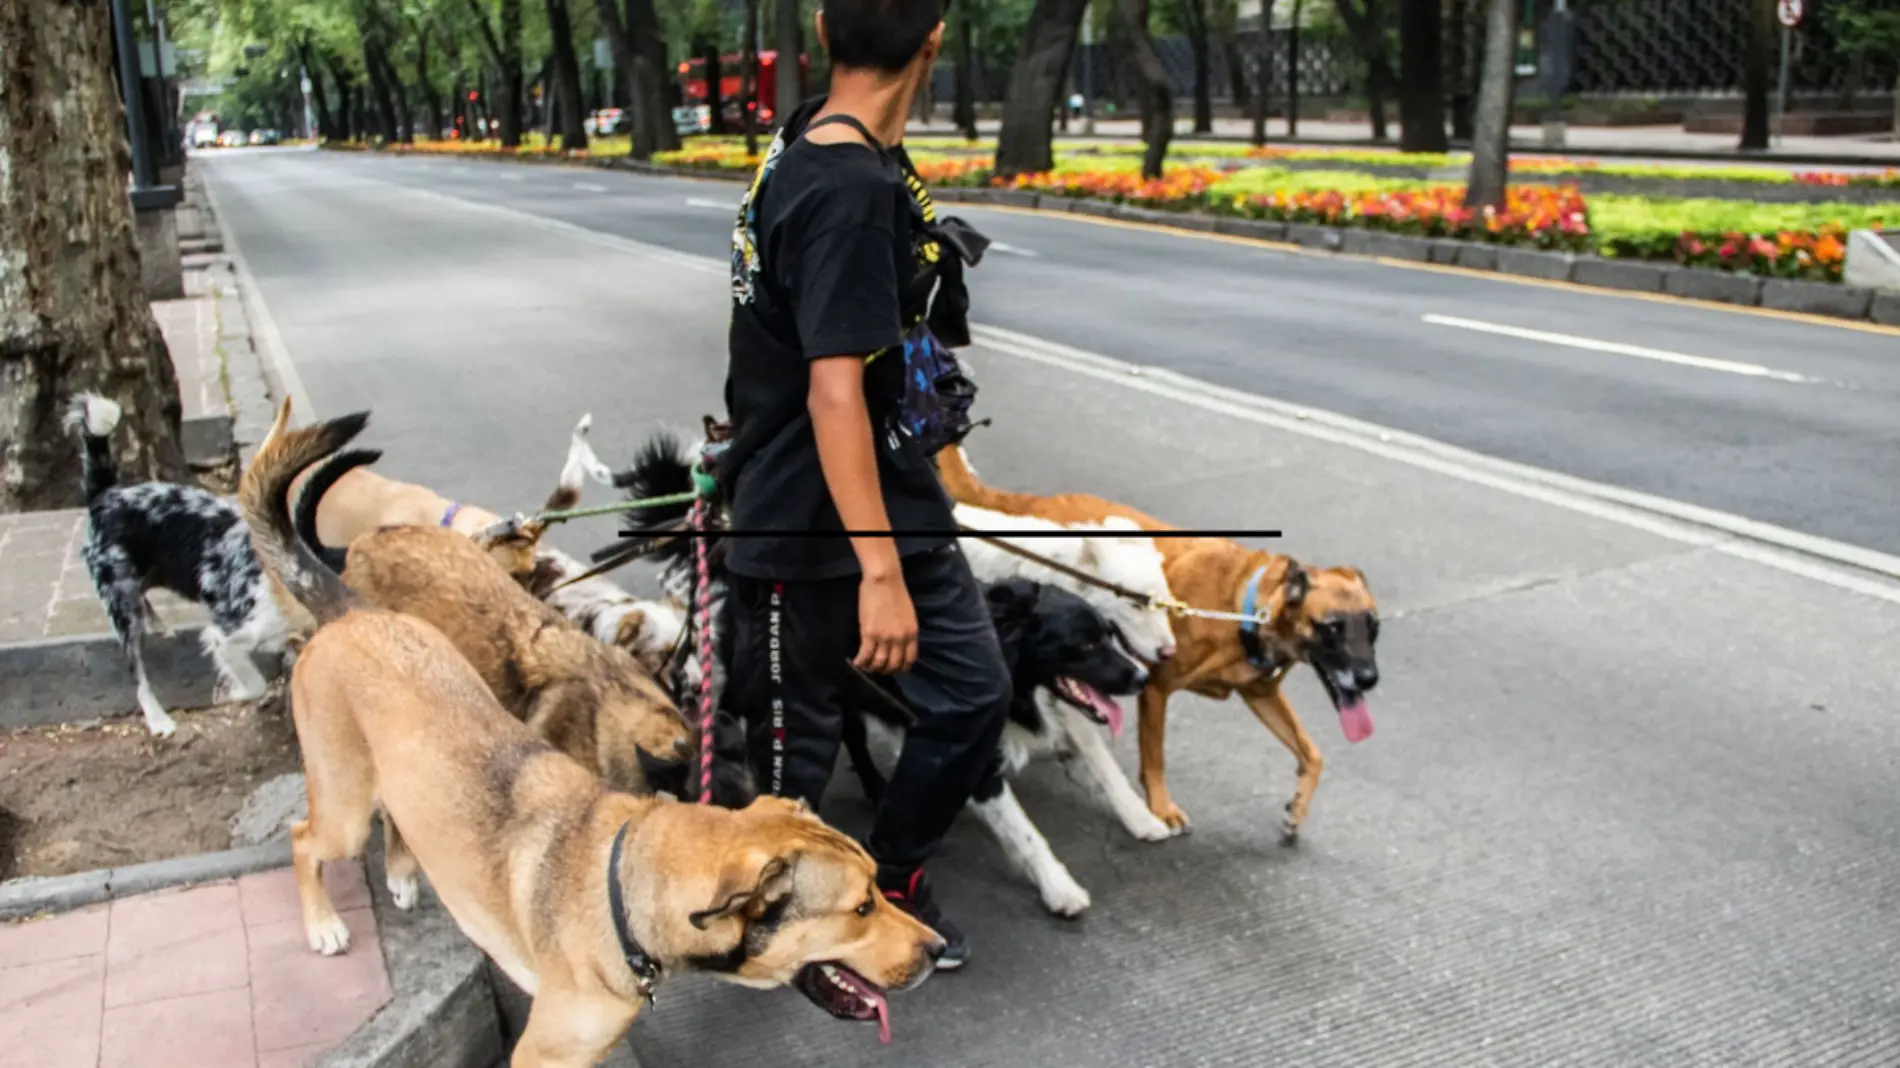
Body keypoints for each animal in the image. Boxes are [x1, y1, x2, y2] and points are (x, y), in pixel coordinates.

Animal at [67, 395, 300, 737]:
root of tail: (107, 494)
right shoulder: (227, 634)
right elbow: (253, 681)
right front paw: (231, 692)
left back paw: (161, 627)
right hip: (120, 604)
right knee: (139, 677)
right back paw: (159, 721)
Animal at [245, 400, 942, 1064]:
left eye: (878, 886)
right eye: (860, 907)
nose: (936, 950)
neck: (622, 886)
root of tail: (351, 608)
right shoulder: (543, 1053)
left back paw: (401, 873)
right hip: (341, 805)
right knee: (304, 838)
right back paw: (325, 923)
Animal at [934, 444, 1383, 836]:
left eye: (1373, 627)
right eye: (1332, 627)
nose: (1368, 679)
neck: (1243, 605)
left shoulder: (1262, 695)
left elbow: (1313, 754)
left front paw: (1297, 810)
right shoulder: (1155, 689)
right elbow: (1153, 758)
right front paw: (1160, 810)